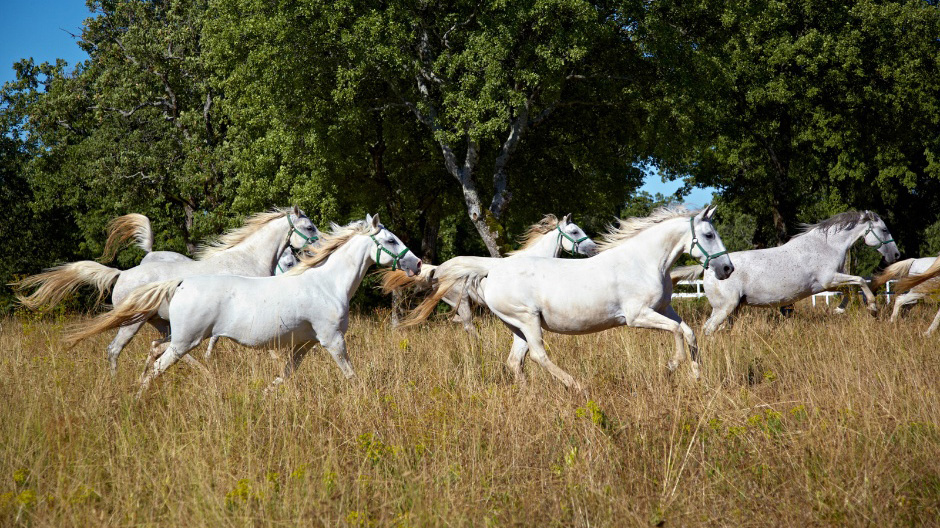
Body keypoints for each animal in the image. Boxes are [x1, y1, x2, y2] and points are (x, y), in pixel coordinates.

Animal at [14, 206, 320, 372]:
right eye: (309, 226)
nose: (318, 250)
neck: (247, 260)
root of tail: (121, 274)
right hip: (132, 323)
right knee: (115, 350)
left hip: (160, 322)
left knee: (159, 347)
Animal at [66, 214, 418, 396]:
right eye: (390, 240)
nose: (415, 263)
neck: (327, 284)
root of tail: (181, 283)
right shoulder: (333, 340)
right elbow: (350, 374)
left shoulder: (305, 344)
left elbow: (286, 374)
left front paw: (267, 394)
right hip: (179, 338)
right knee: (150, 361)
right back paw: (138, 395)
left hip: (173, 333)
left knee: (153, 353)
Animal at [380, 212, 596, 332]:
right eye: (575, 232)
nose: (594, 248)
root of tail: (438, 269)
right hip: (461, 300)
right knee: (467, 325)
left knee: (458, 321)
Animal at [672, 210, 900, 334]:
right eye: (885, 230)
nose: (896, 254)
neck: (826, 246)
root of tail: (709, 268)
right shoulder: (829, 280)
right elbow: (860, 281)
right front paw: (872, 308)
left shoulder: (828, 283)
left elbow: (849, 290)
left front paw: (839, 309)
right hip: (724, 308)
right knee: (708, 329)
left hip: (731, 310)